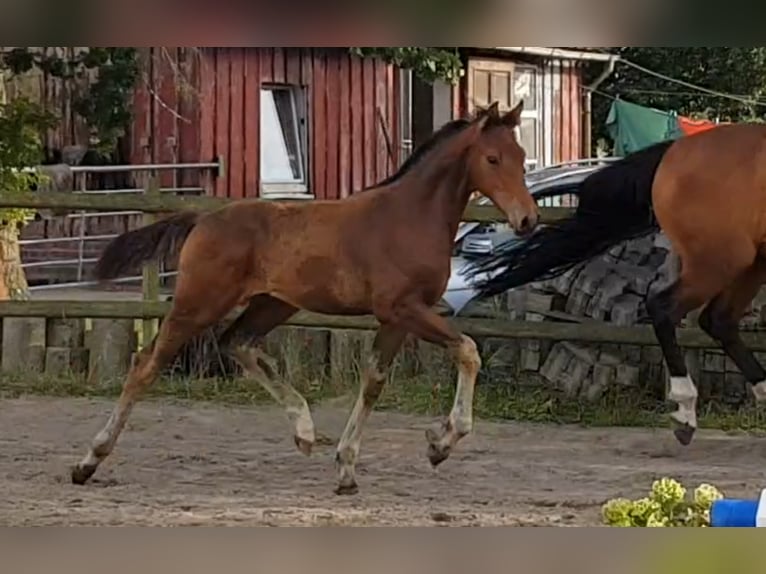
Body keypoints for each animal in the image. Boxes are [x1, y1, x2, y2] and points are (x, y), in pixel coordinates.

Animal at [70, 99, 540, 496]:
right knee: (146, 364)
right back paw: (89, 461)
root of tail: (203, 220)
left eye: (520, 157)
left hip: (273, 303)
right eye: (492, 159)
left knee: (237, 343)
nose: (528, 220)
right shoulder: (403, 307)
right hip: (198, 303)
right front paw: (440, 443)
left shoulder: (395, 318)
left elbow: (373, 382)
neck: (410, 217)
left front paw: (349, 467)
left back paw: (304, 431)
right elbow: (469, 350)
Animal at [468, 120, 766, 446]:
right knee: (667, 309)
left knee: (719, 320)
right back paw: (685, 412)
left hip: (748, 263)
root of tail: (672, 153)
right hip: (720, 260)